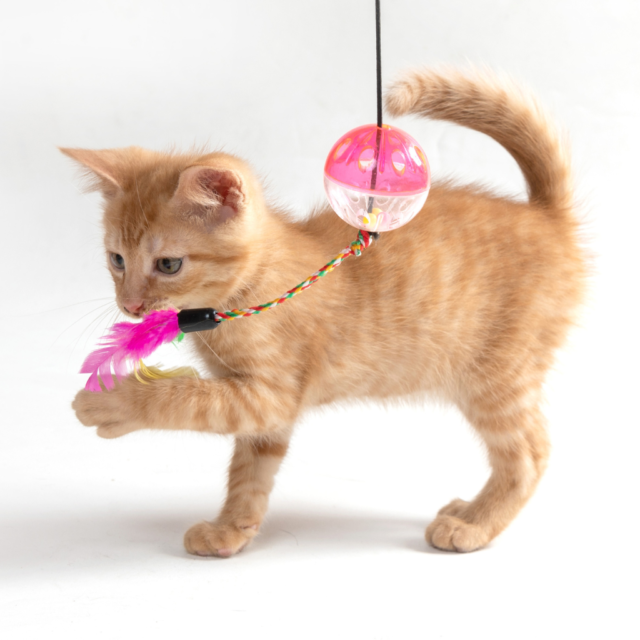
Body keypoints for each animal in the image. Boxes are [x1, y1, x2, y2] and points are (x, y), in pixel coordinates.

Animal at [63, 68, 585, 556]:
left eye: (168, 265)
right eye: (117, 259)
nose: (129, 305)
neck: (245, 296)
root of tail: (545, 215)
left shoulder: (271, 392)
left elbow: (183, 399)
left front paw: (111, 401)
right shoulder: (263, 411)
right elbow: (250, 472)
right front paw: (231, 530)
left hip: (497, 376)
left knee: (531, 452)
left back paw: (474, 524)